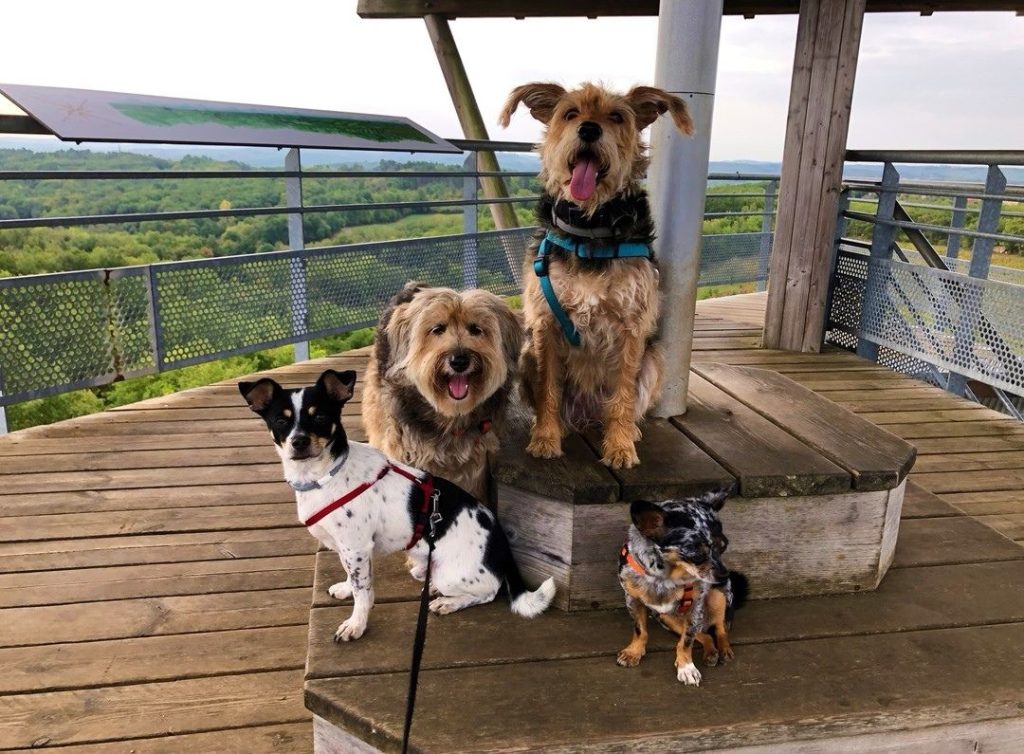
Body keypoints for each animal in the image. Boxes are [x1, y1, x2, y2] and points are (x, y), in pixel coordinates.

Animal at [240, 368, 557, 639]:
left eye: (319, 417)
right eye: (280, 421)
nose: (299, 442)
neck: (326, 476)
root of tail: (502, 545)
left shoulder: (356, 547)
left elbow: (363, 593)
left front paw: (356, 624)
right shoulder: (352, 550)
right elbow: (356, 580)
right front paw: (346, 589)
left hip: (452, 575)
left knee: (488, 591)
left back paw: (448, 603)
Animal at [497, 85, 692, 469]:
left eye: (616, 116)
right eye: (570, 113)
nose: (589, 129)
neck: (589, 226)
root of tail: (585, 415)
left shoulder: (632, 327)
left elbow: (623, 394)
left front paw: (619, 446)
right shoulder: (545, 324)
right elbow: (548, 390)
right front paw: (545, 439)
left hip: (654, 358)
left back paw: (629, 431)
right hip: (528, 353)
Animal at [610, 491, 749, 684]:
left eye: (723, 547)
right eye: (696, 554)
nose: (724, 575)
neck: (665, 577)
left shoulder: (695, 608)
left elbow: (686, 641)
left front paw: (686, 668)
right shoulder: (633, 599)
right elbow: (640, 630)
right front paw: (633, 652)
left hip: (718, 598)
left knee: (720, 629)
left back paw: (723, 650)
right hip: (666, 619)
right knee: (704, 635)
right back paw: (710, 652)